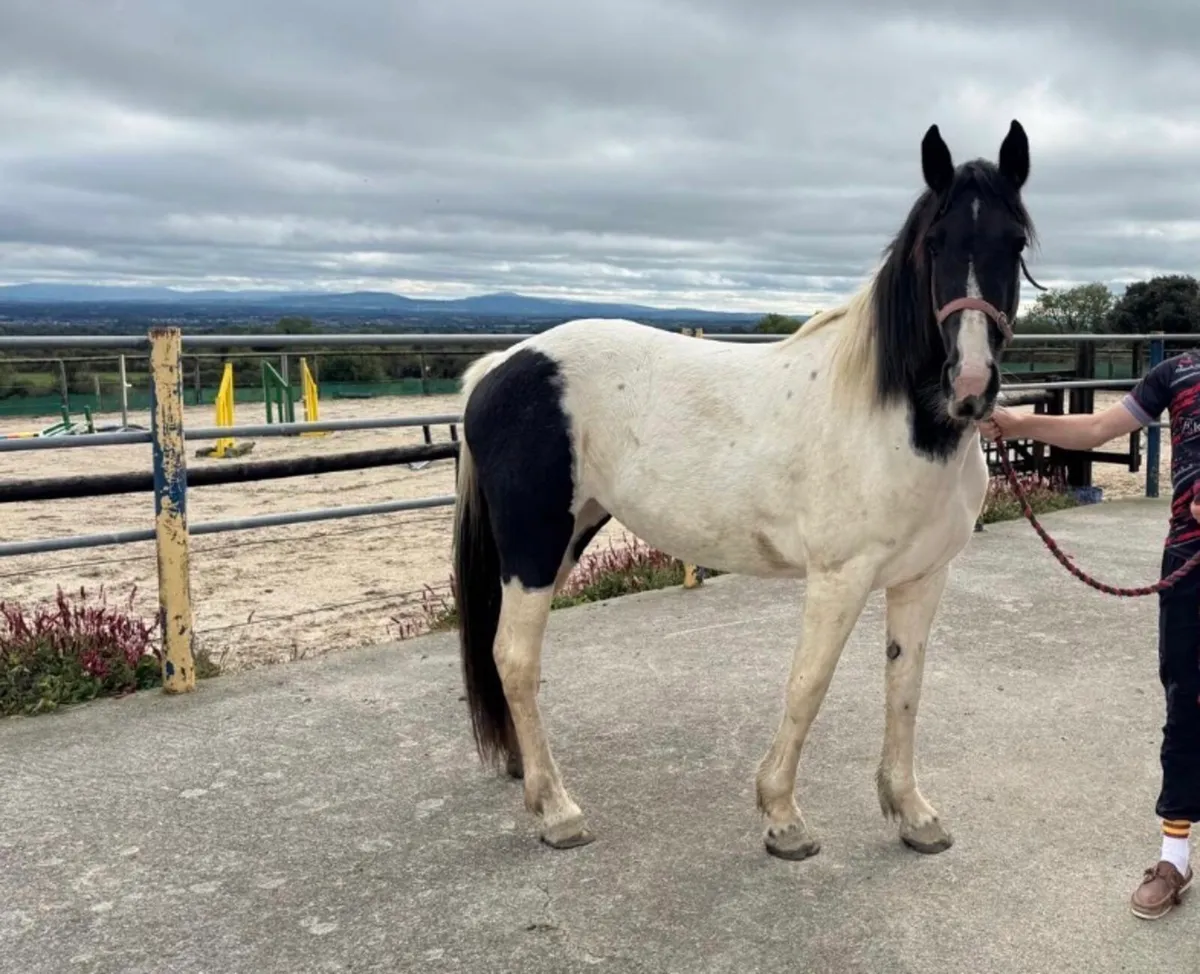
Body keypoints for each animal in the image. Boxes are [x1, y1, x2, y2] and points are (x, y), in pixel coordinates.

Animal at [450, 120, 1036, 859]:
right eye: (936, 242)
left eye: (1014, 243)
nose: (971, 385)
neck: (899, 419)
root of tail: (503, 365)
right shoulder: (839, 578)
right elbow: (808, 684)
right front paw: (782, 818)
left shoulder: (922, 577)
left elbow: (905, 686)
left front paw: (912, 814)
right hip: (533, 547)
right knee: (516, 658)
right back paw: (557, 811)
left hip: (570, 534)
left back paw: (527, 776)